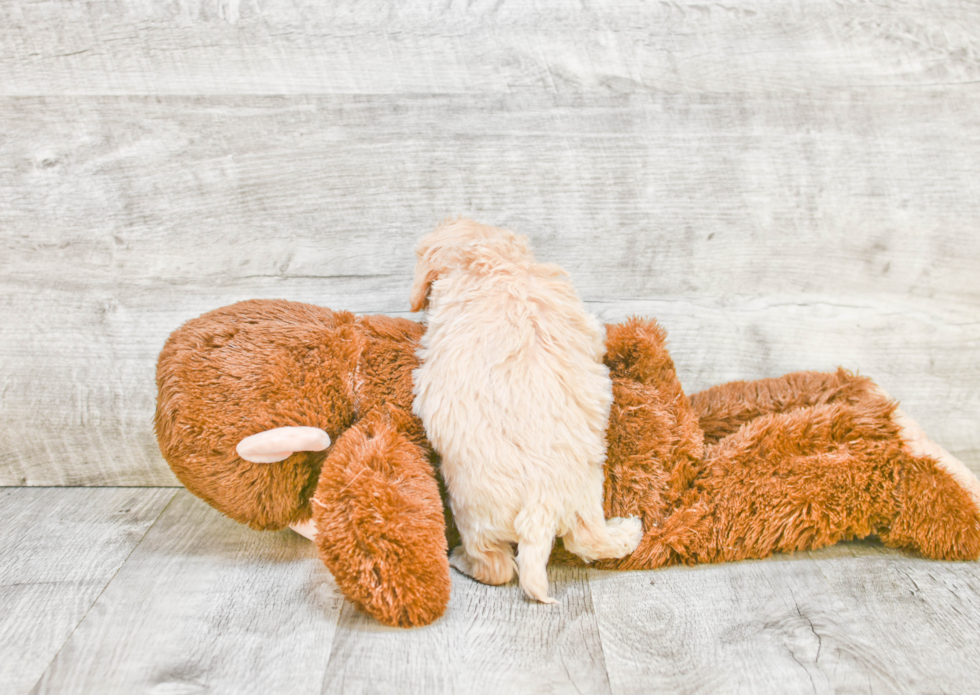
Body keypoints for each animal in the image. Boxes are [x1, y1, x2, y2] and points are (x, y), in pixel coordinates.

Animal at [412, 219, 648, 604]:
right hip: (584, 492)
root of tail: (541, 501)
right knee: (587, 540)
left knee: (497, 566)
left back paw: (462, 560)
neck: (499, 263)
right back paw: (626, 533)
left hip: (471, 508)